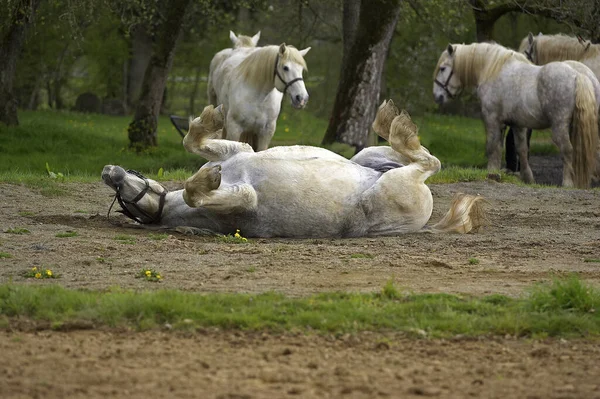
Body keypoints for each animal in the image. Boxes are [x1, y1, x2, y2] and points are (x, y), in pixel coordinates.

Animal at [102, 101, 488, 238]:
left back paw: (391, 121)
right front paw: (206, 179)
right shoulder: (245, 198)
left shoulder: (238, 152)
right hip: (390, 182)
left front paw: (211, 119)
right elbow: (198, 193)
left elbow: (192, 141)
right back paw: (395, 126)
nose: (109, 172)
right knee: (428, 163)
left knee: (427, 160)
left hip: (370, 158)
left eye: (123, 192)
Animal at [434, 42, 596, 189]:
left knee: (567, 150)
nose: (437, 96)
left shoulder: (492, 120)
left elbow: (493, 147)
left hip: (560, 126)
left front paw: (491, 172)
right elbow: (521, 150)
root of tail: (578, 75)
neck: (494, 70)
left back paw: (568, 183)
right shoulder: (518, 125)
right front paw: (527, 178)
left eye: (443, 68)